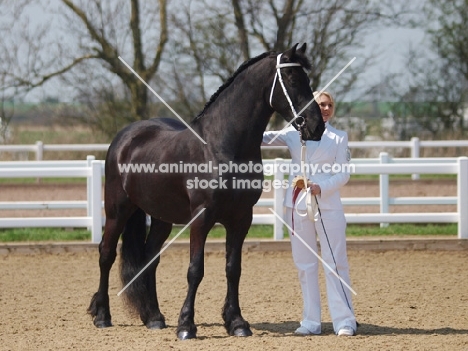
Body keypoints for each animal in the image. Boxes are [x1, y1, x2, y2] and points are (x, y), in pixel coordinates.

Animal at [88, 42, 324, 340]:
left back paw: (154, 317)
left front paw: (237, 322)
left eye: (307, 80)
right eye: (293, 80)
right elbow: (195, 270)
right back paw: (102, 315)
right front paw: (186, 326)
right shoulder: (201, 218)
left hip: (161, 217)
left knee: (149, 259)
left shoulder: (241, 219)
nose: (317, 126)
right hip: (117, 210)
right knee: (106, 253)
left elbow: (233, 269)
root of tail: (125, 137)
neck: (221, 146)